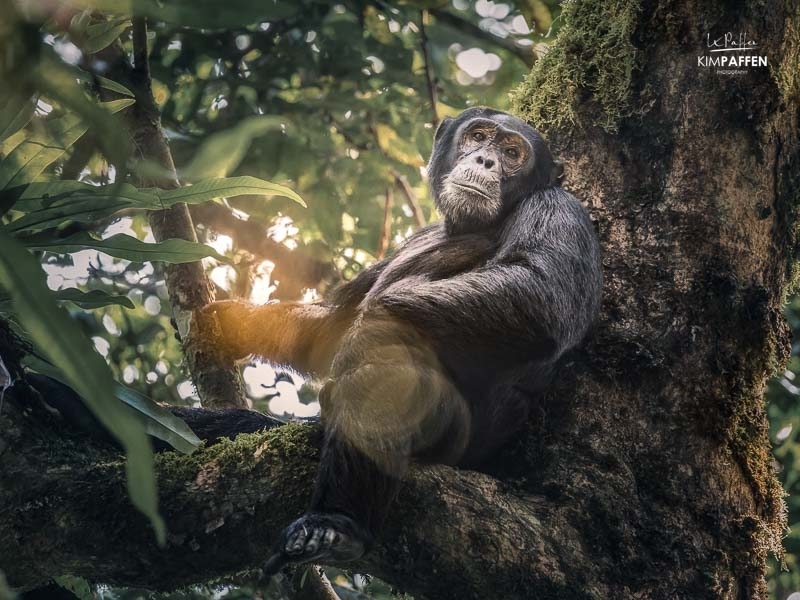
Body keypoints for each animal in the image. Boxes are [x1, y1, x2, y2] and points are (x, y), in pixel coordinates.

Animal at [200, 106, 600, 572]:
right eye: (479, 136)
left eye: (513, 152)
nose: (485, 160)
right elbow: (332, 325)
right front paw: (237, 322)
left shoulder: (560, 210)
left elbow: (538, 293)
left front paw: (366, 333)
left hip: (449, 437)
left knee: (381, 376)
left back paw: (335, 526)